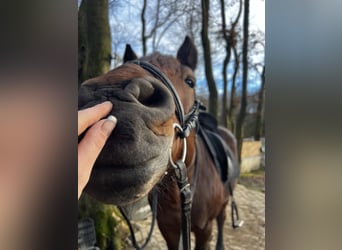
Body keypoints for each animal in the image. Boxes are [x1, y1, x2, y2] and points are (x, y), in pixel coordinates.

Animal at [78, 35, 238, 250]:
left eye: (190, 81)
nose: (109, 94)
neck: (177, 196)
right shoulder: (169, 230)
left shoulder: (204, 231)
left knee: (222, 218)